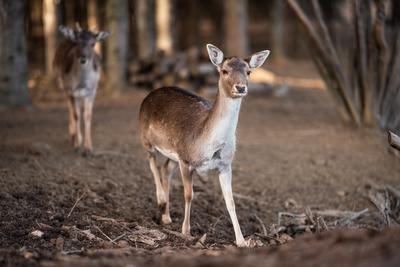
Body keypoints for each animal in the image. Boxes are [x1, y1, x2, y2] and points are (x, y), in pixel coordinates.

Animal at [53, 24, 110, 157]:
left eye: (93, 44)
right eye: (77, 43)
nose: (83, 58)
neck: (82, 84)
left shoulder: (92, 91)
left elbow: (87, 115)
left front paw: (88, 148)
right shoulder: (71, 91)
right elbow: (76, 115)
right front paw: (77, 145)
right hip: (63, 86)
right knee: (70, 109)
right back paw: (73, 136)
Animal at [139, 43, 270, 247]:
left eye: (249, 72)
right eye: (224, 71)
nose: (240, 87)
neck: (208, 144)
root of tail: (151, 92)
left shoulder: (225, 164)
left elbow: (230, 201)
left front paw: (241, 241)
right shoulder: (186, 160)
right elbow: (189, 194)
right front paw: (186, 232)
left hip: (174, 153)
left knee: (165, 169)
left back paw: (166, 217)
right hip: (146, 137)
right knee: (151, 161)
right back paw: (160, 200)